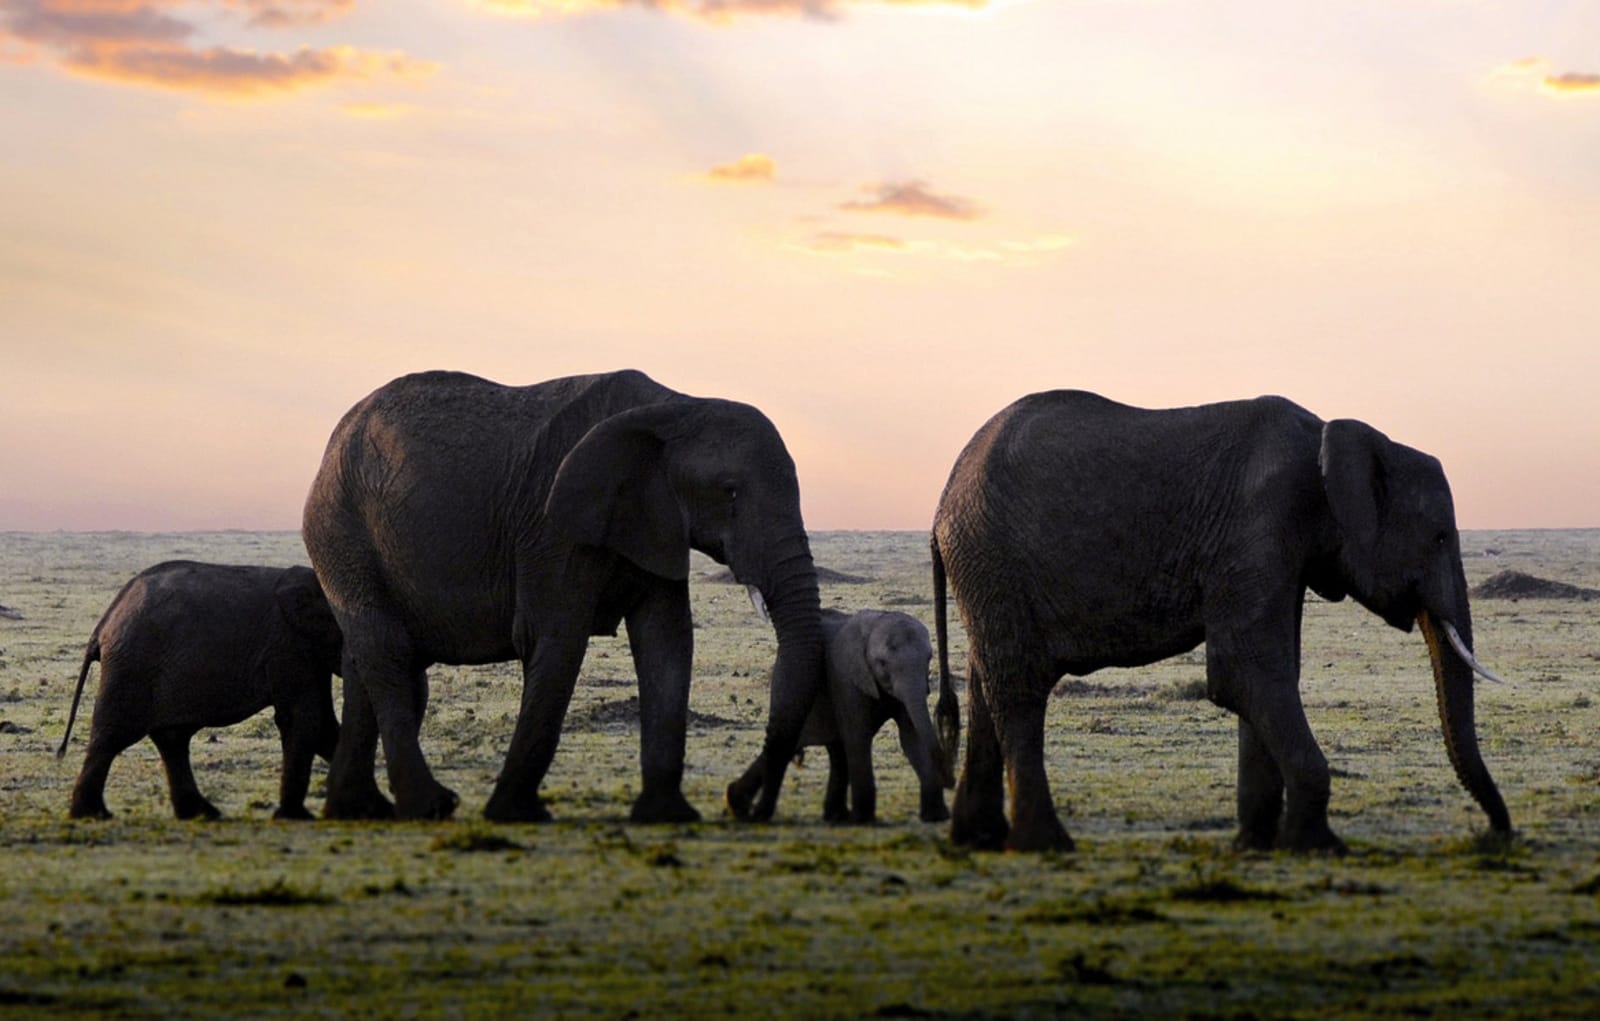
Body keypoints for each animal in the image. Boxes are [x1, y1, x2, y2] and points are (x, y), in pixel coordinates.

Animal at [57, 561, 343, 821]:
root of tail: (104, 624)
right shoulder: (289, 646)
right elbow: (302, 718)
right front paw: (297, 817)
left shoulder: (309, 653)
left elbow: (323, 722)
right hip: (133, 665)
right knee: (113, 736)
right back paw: (93, 815)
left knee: (172, 738)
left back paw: (201, 813)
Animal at [301, 369, 824, 823]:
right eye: (730, 492)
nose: (738, 799)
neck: (677, 406)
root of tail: (333, 443)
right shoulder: (552, 528)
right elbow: (557, 639)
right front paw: (514, 814)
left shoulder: (655, 521)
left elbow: (668, 642)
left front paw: (668, 816)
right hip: (341, 531)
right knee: (388, 653)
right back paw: (429, 807)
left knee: (363, 660)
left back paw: (355, 810)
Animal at [726, 608, 954, 824]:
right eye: (882, 663)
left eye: (929, 659)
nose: (949, 779)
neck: (877, 621)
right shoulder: (846, 678)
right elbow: (858, 736)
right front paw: (864, 820)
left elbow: (911, 738)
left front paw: (937, 817)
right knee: (793, 744)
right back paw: (736, 803)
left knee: (835, 750)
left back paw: (836, 816)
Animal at [930, 390, 1512, 853]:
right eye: (1440, 536)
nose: (1494, 835)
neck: (1328, 439)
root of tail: (943, 499)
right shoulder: (1259, 525)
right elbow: (1246, 672)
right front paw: (1319, 847)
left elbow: (1269, 674)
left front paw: (1255, 844)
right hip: (994, 560)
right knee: (1020, 687)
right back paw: (1046, 845)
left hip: (986, 573)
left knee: (987, 682)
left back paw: (976, 840)